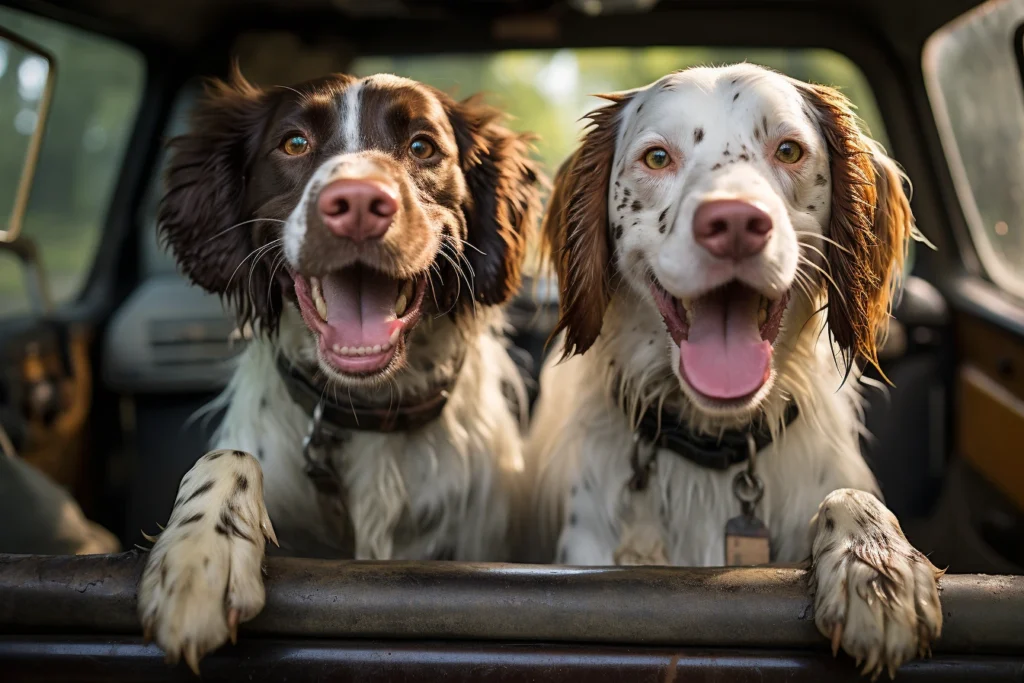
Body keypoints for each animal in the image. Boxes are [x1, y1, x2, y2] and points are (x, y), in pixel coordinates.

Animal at [139, 72, 540, 671]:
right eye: (294, 143)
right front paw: (198, 556)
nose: (357, 203)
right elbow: (229, 456)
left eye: (422, 146)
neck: (365, 410)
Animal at [532, 65, 937, 679]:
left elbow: (848, 497)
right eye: (657, 157)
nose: (736, 222)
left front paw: (876, 568)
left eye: (789, 150)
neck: (714, 445)